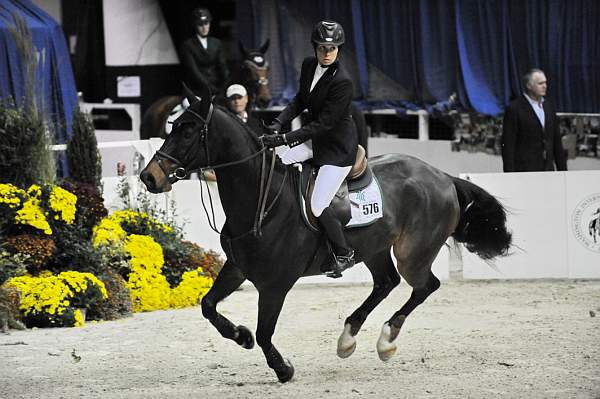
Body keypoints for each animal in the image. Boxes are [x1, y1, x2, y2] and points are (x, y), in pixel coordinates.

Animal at [141, 82, 510, 384]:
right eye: (173, 126)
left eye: (189, 132)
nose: (149, 177)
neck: (262, 199)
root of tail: (442, 176)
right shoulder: (237, 268)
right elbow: (208, 307)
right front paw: (240, 336)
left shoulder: (275, 284)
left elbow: (265, 332)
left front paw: (283, 369)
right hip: (376, 248)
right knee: (386, 282)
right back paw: (348, 338)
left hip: (413, 253)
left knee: (424, 286)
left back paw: (386, 341)